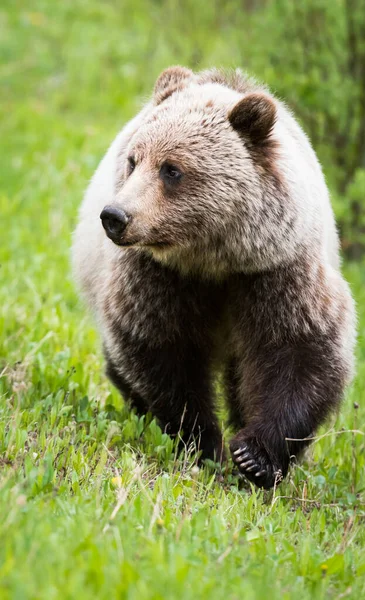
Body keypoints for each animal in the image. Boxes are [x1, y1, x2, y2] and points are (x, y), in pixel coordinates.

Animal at [72, 67, 356, 488]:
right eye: (133, 161)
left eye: (171, 169)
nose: (115, 216)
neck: (215, 257)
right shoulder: (159, 276)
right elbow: (162, 349)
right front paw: (202, 444)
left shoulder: (276, 269)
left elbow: (300, 349)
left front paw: (255, 456)